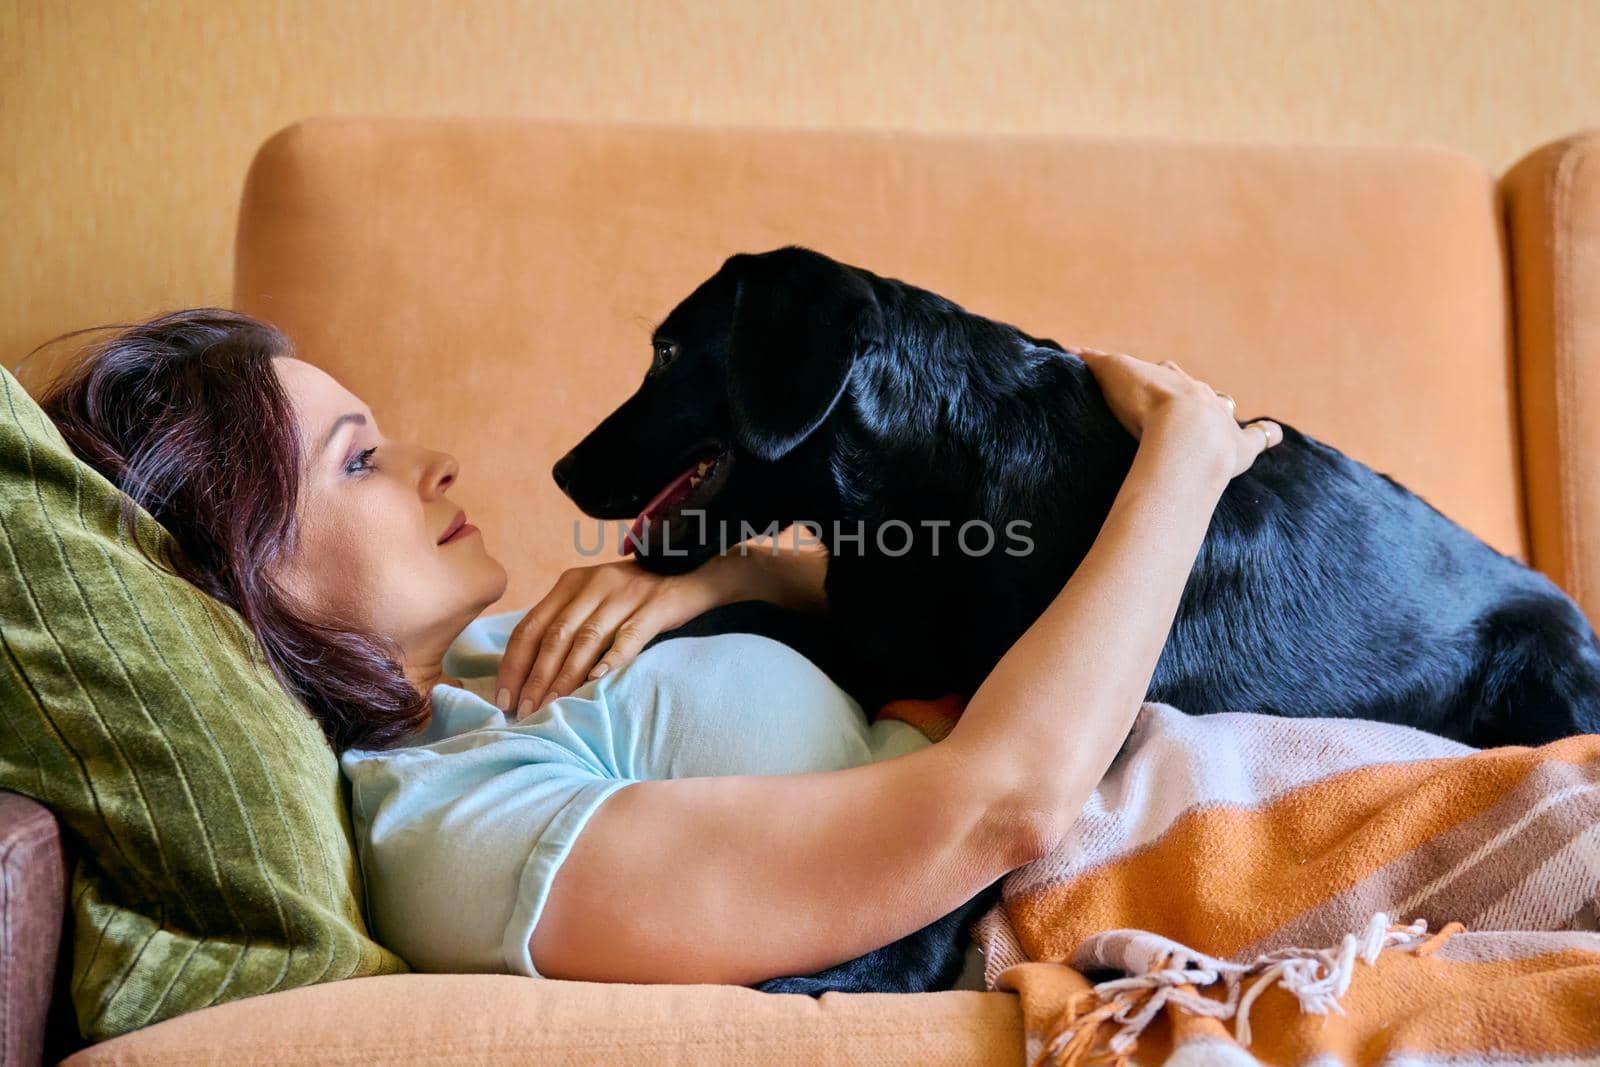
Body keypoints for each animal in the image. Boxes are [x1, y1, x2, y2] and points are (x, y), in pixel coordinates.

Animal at [556, 244, 1600, 991]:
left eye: (666, 353)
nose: (561, 469)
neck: (928, 487)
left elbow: (962, 864)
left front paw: (871, 969)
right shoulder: (882, 645)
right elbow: (741, 607)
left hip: (1544, 667)